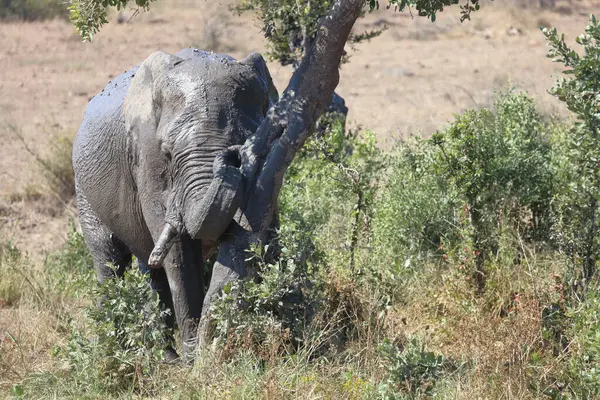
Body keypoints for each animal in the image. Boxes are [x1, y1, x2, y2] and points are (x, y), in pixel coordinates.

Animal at [72, 47, 278, 362]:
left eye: (249, 141)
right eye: (167, 153)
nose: (231, 157)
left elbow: (267, 235)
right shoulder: (145, 157)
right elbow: (179, 256)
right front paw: (194, 360)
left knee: (150, 271)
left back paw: (165, 356)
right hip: (84, 189)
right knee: (109, 259)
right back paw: (118, 354)